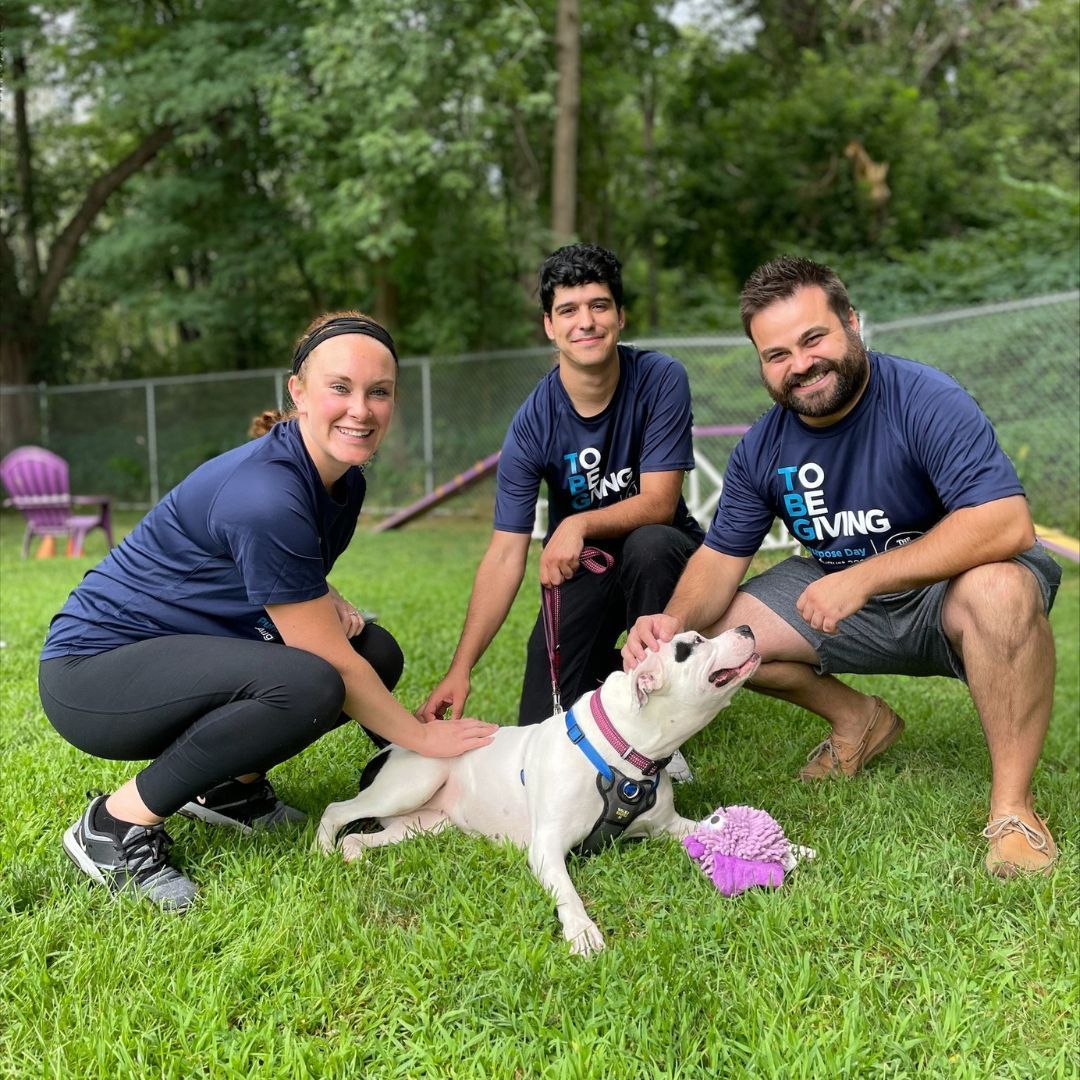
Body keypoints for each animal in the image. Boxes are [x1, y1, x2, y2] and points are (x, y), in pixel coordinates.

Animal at [315, 626, 760, 954]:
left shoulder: (671, 825)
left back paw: (353, 855)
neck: (621, 751)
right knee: (336, 809)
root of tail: (389, 747)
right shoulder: (547, 847)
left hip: (425, 824)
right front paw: (582, 930)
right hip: (413, 781)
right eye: (694, 643)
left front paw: (773, 852)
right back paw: (323, 851)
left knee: (361, 835)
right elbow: (568, 893)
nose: (746, 627)